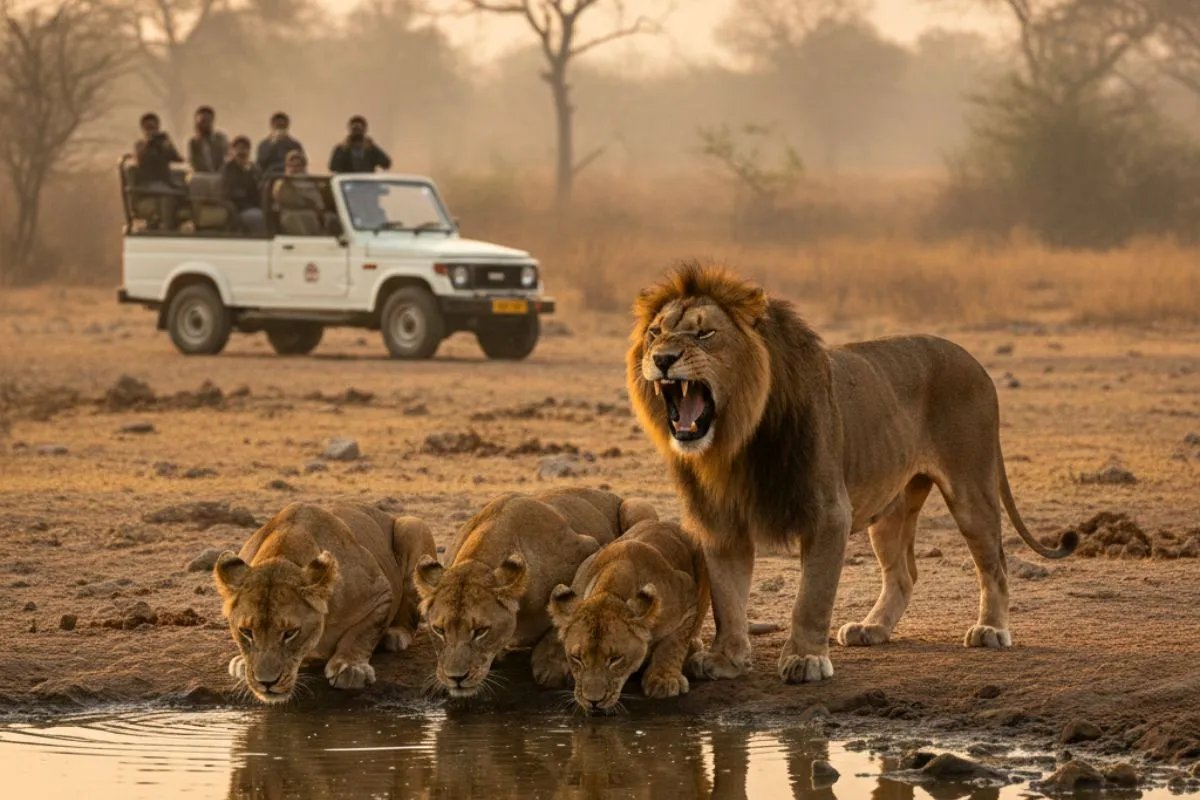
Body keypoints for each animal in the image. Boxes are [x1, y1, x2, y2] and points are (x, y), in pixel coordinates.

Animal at [213, 502, 435, 703]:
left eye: (290, 633)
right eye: (246, 631)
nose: (266, 683)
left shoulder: (380, 593)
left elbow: (362, 633)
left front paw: (350, 667)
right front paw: (242, 661)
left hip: (414, 527)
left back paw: (394, 635)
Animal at [413, 487, 658, 698]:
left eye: (480, 631)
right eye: (438, 630)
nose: (456, 678)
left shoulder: (588, 549)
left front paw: (549, 665)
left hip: (637, 507)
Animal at [548, 519, 710, 711]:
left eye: (615, 659)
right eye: (577, 658)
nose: (593, 702)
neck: (612, 589)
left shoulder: (688, 595)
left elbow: (673, 644)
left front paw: (664, 680)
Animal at [626, 264, 1076, 684]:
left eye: (705, 333)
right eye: (654, 333)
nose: (662, 359)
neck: (734, 443)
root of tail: (974, 362)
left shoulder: (829, 512)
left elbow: (812, 596)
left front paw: (806, 659)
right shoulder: (719, 522)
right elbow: (728, 597)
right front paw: (726, 660)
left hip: (971, 488)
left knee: (994, 564)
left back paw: (991, 630)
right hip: (892, 507)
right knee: (904, 574)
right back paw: (872, 628)